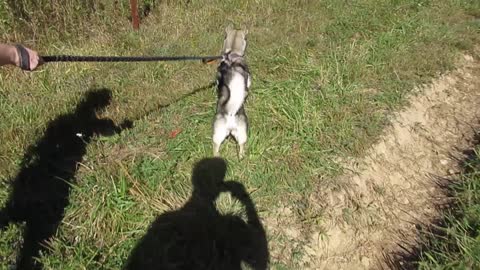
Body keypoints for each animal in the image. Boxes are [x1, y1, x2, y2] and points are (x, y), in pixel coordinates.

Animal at [213, 25, 251, 158]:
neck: (232, 54)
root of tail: (230, 114)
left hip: (218, 133)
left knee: (216, 147)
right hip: (242, 132)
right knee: (242, 146)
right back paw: (241, 157)